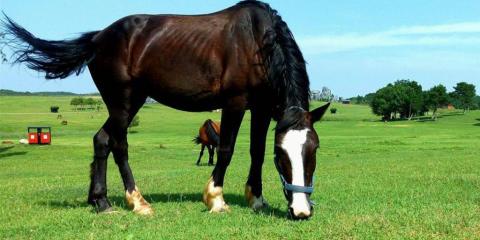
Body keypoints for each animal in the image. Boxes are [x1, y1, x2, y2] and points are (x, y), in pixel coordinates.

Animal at [1, 0, 330, 220]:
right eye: (282, 153)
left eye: (313, 149)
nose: (301, 211)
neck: (255, 41)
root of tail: (97, 38)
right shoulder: (234, 103)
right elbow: (226, 150)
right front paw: (215, 198)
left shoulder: (261, 107)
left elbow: (256, 153)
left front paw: (257, 199)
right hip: (123, 102)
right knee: (119, 145)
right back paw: (138, 202)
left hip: (129, 102)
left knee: (101, 140)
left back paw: (101, 202)